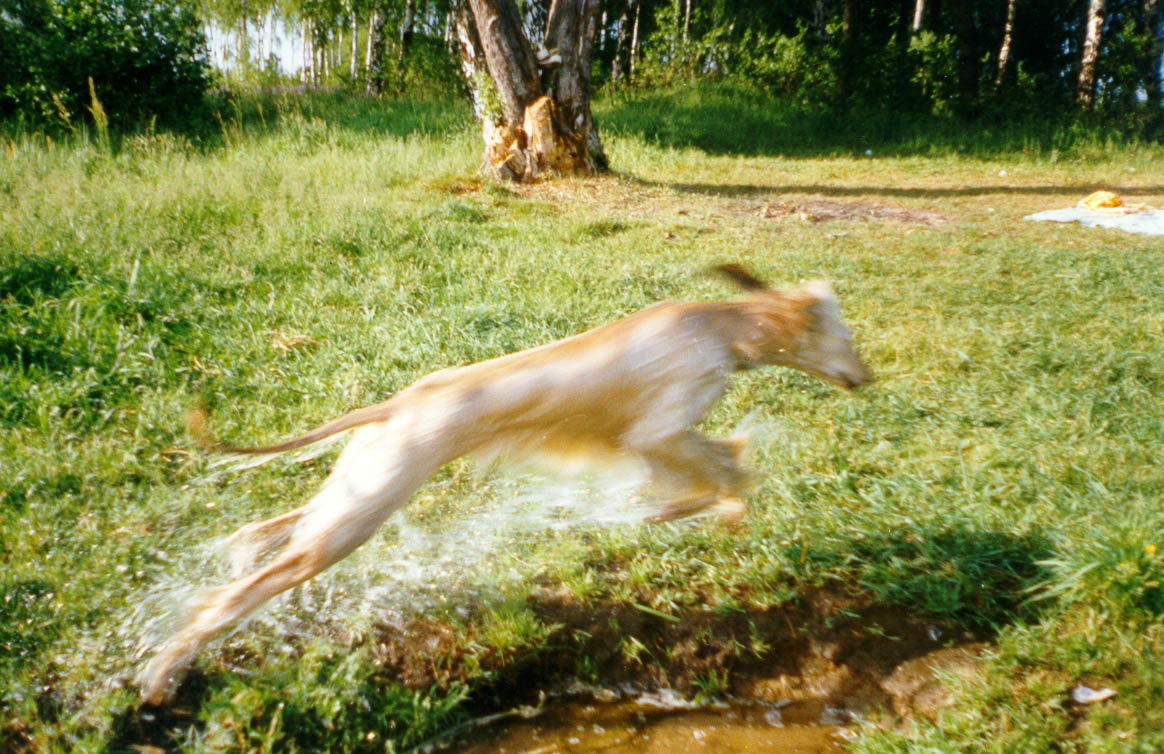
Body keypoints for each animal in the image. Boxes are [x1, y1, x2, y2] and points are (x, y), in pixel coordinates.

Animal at [140, 265, 870, 702]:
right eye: (846, 336)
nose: (867, 376)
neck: (717, 326)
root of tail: (397, 404)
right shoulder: (658, 433)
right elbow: (720, 471)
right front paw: (699, 507)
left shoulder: (663, 439)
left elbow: (721, 471)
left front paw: (700, 510)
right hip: (363, 510)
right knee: (242, 590)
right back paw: (164, 671)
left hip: (355, 488)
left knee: (259, 536)